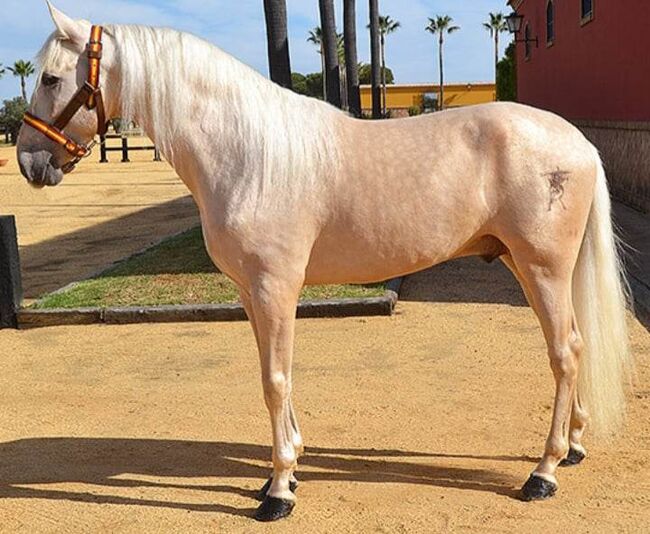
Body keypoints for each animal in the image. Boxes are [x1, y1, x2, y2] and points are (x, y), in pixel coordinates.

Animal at [17, 3, 632, 524]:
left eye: (50, 79)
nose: (27, 162)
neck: (246, 155)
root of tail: (577, 142)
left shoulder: (275, 288)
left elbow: (275, 379)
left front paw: (278, 492)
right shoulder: (251, 293)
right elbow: (273, 376)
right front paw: (285, 470)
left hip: (542, 268)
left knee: (564, 353)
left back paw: (543, 472)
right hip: (530, 268)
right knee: (574, 344)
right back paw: (573, 446)